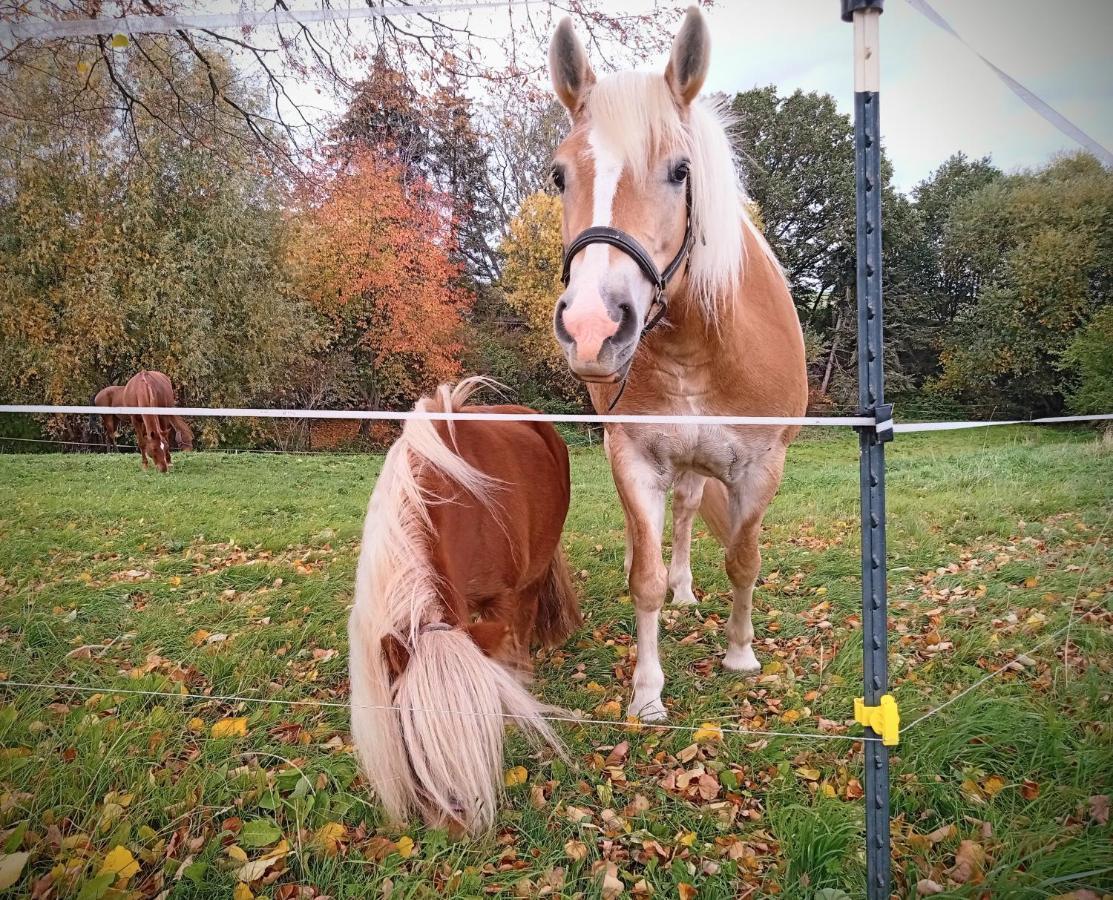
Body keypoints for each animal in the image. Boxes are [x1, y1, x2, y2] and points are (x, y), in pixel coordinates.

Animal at [549, 8, 805, 725]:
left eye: (679, 170)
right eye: (558, 176)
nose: (592, 328)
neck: (698, 349)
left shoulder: (760, 468)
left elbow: (743, 560)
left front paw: (740, 655)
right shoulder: (635, 462)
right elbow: (645, 578)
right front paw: (647, 692)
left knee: (694, 517)